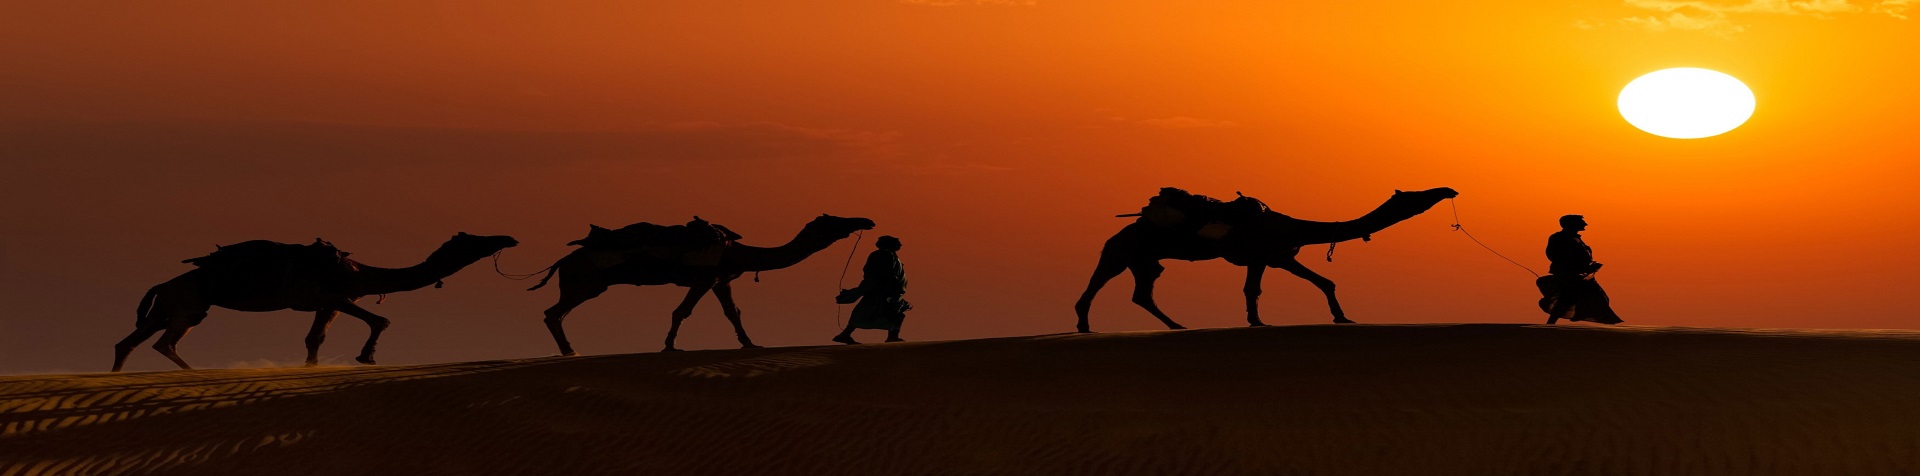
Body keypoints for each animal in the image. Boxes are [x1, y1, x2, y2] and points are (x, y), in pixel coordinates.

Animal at [112, 233, 518, 372]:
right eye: (474, 240)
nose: (509, 238)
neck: (360, 272)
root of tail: (161, 283)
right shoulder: (326, 295)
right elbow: (381, 320)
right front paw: (366, 357)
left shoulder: (331, 304)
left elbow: (314, 338)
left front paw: (312, 367)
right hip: (188, 305)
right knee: (163, 342)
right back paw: (195, 373)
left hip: (169, 306)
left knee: (129, 341)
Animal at [533, 214, 879, 355]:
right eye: (834, 221)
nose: (866, 220)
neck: (736, 252)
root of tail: (562, 260)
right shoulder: (704, 277)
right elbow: (682, 311)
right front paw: (670, 346)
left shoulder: (720, 280)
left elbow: (733, 313)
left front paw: (750, 344)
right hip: (587, 282)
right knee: (553, 313)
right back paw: (569, 350)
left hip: (582, 284)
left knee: (556, 313)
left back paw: (568, 349)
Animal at [1082, 186, 1451, 330]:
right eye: (1415, 196)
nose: (1448, 190)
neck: (1294, 224)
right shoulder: (1259, 256)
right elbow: (1252, 290)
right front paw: (1257, 321)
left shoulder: (1281, 257)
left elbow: (1325, 281)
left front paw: (1343, 317)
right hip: (1124, 250)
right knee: (1099, 281)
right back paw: (1084, 324)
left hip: (1144, 259)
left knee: (1142, 292)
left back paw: (1176, 324)